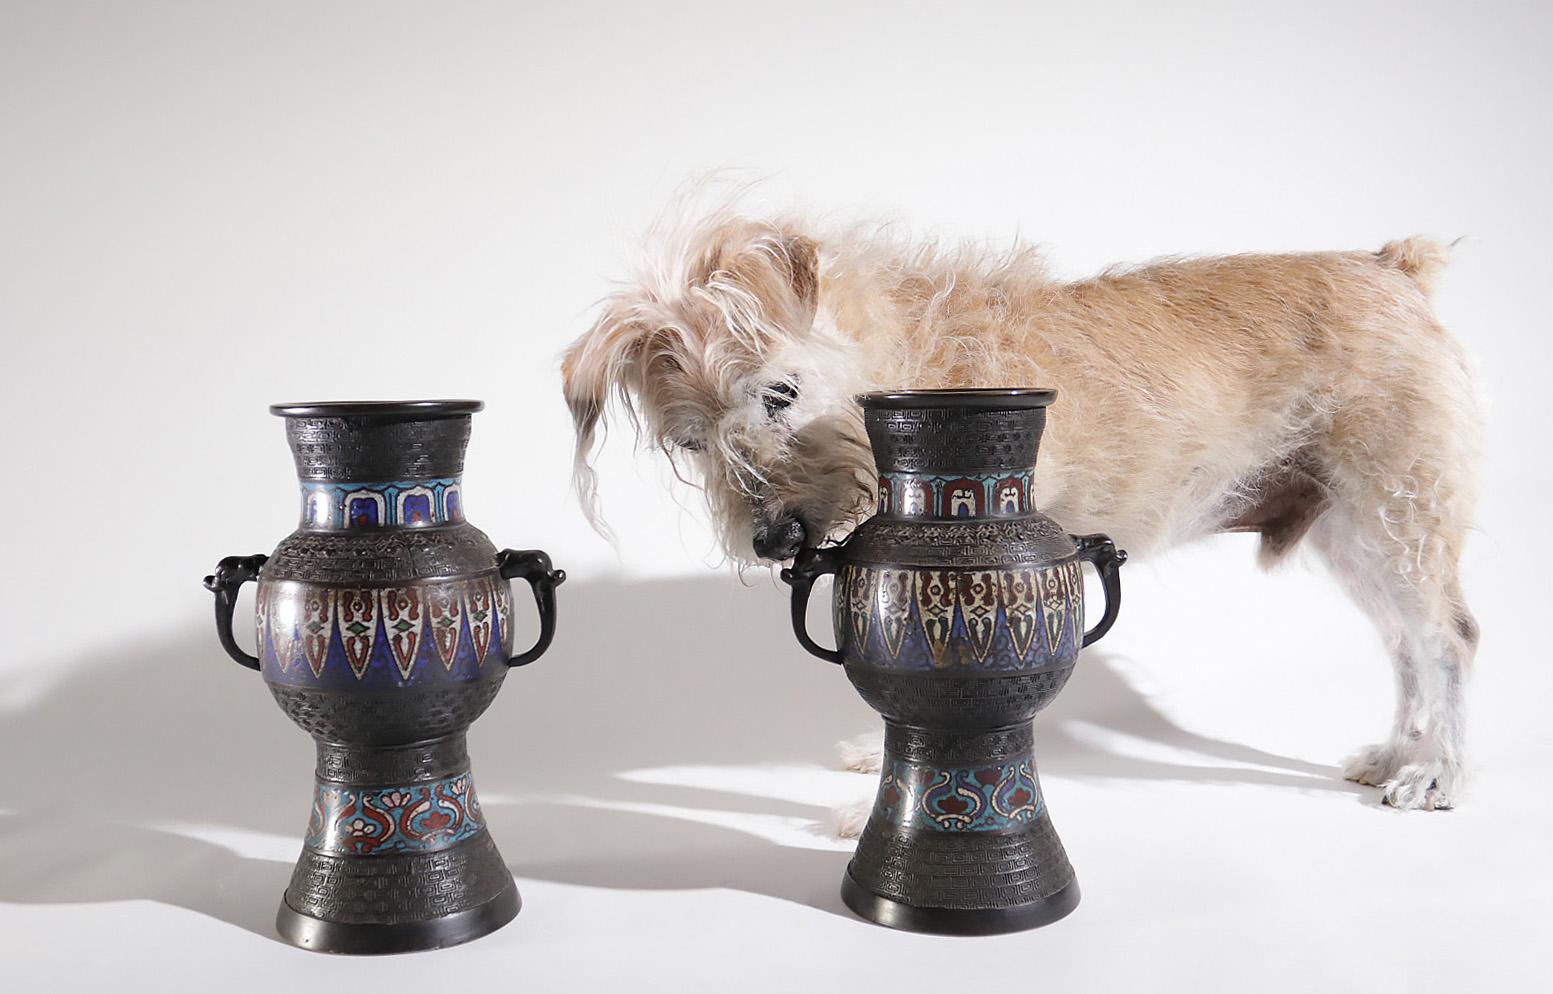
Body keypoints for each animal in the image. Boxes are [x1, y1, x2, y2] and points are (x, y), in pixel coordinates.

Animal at [565, 203, 1484, 813]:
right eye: (691, 442)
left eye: (779, 394)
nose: (771, 537)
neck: (900, 361)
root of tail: (1391, 265)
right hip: (1346, 530)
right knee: (1404, 644)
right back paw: (1396, 753)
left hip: (1396, 508)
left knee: (1447, 638)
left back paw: (1436, 770)